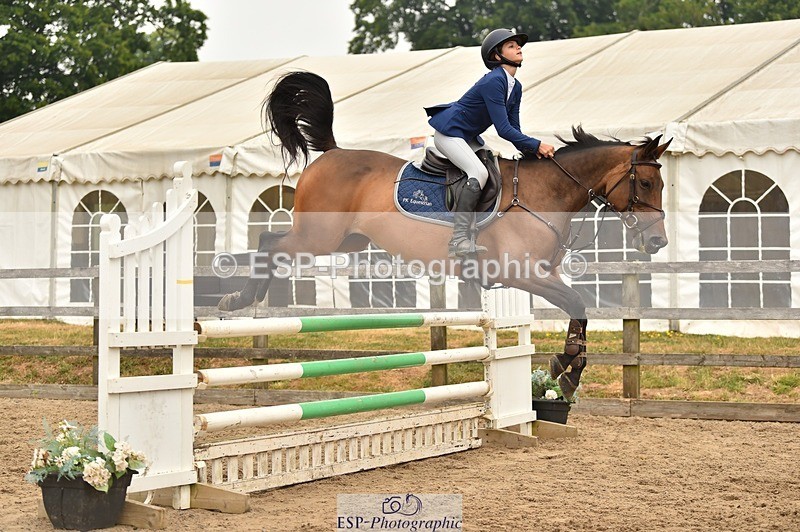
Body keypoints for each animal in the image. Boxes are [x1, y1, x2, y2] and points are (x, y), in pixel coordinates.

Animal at [218, 71, 672, 398]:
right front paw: (568, 369)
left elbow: (580, 310)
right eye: (648, 184)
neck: (547, 193)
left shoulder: (540, 275)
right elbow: (577, 302)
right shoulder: (524, 274)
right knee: (269, 244)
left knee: (274, 246)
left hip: (347, 240)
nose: (658, 243)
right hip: (319, 237)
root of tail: (332, 153)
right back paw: (238, 299)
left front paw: (568, 367)